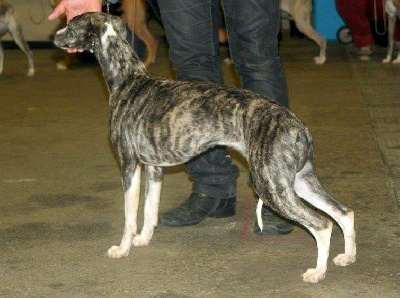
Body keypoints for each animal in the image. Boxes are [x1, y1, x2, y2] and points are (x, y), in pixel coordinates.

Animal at [53, 12, 356, 282]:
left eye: (71, 25)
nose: (54, 36)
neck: (129, 79)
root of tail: (297, 126)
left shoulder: (129, 165)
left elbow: (129, 215)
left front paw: (123, 248)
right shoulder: (154, 168)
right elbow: (150, 210)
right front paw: (143, 239)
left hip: (273, 186)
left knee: (322, 224)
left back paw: (317, 272)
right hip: (299, 181)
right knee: (343, 212)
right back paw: (347, 257)